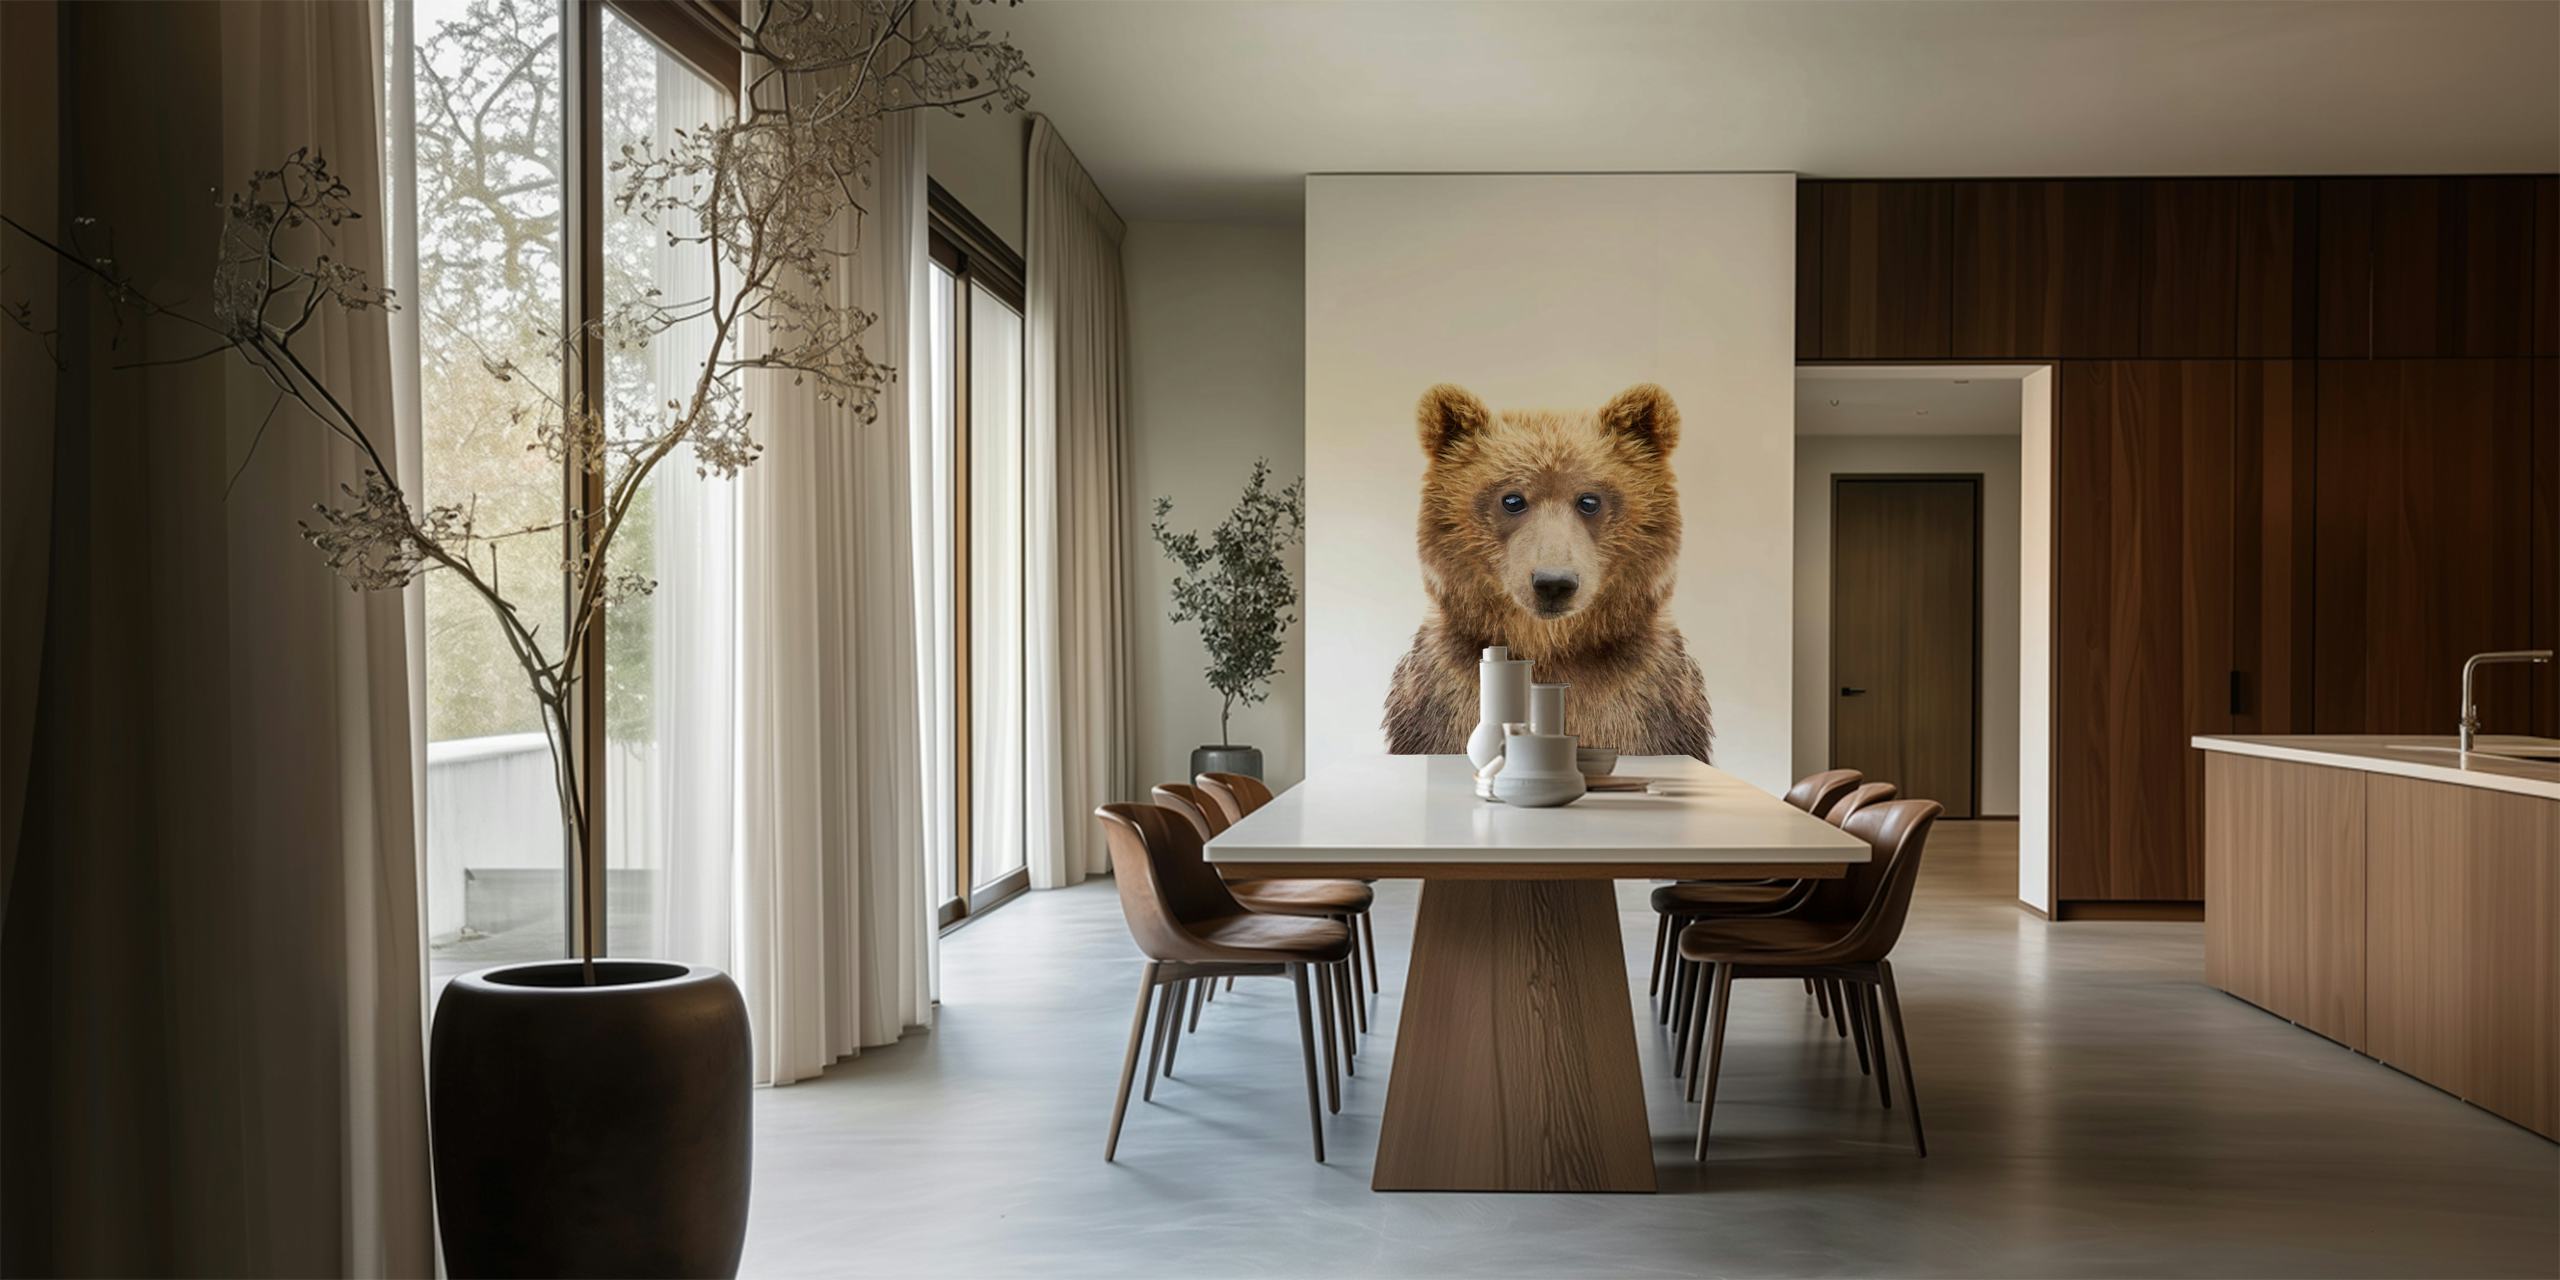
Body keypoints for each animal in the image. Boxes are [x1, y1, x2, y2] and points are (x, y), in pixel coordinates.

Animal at [1381, 382, 1714, 762]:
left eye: (1589, 500)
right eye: (1512, 499)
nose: (1553, 583)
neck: (1549, 650)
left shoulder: (1650, 705)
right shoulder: (1442, 702)